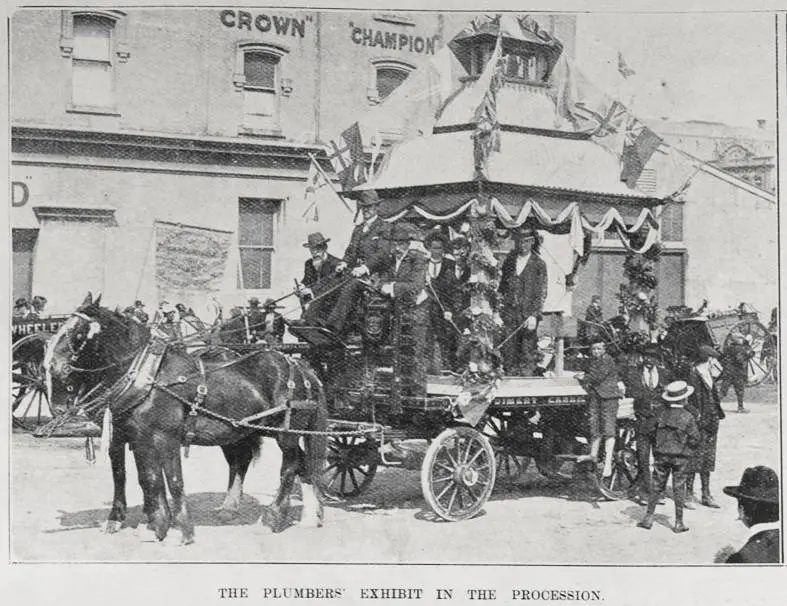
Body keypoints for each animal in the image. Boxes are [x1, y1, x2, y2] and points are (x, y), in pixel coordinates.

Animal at [46, 294, 326, 548]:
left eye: (78, 333)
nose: (51, 366)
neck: (148, 377)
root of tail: (300, 366)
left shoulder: (165, 437)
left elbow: (173, 480)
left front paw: (180, 531)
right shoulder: (135, 437)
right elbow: (143, 478)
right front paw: (153, 525)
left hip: (286, 432)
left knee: (290, 466)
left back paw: (274, 518)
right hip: (251, 430)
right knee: (294, 463)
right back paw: (308, 516)